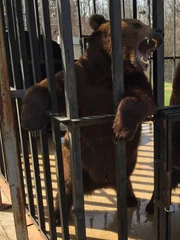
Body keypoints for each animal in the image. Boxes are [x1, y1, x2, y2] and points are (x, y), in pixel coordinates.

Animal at [20, 14, 163, 222]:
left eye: (144, 23)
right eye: (137, 24)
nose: (158, 33)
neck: (107, 71)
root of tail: (99, 184)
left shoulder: (135, 80)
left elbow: (142, 99)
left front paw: (120, 129)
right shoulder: (81, 79)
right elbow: (46, 86)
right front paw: (30, 120)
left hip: (122, 168)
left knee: (125, 182)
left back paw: (131, 199)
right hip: (73, 165)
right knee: (65, 187)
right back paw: (56, 213)